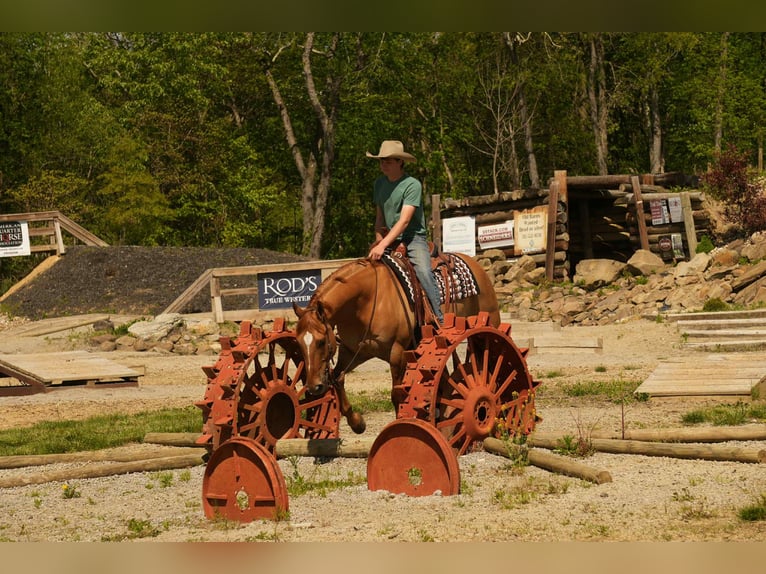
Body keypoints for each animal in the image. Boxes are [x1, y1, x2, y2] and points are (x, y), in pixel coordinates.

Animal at [292, 252, 500, 434]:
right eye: (299, 343)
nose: (314, 387)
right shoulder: (353, 351)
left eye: (320, 342)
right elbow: (337, 378)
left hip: (489, 325)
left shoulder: (397, 352)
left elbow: (397, 394)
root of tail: (475, 265)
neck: (367, 301)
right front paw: (357, 422)